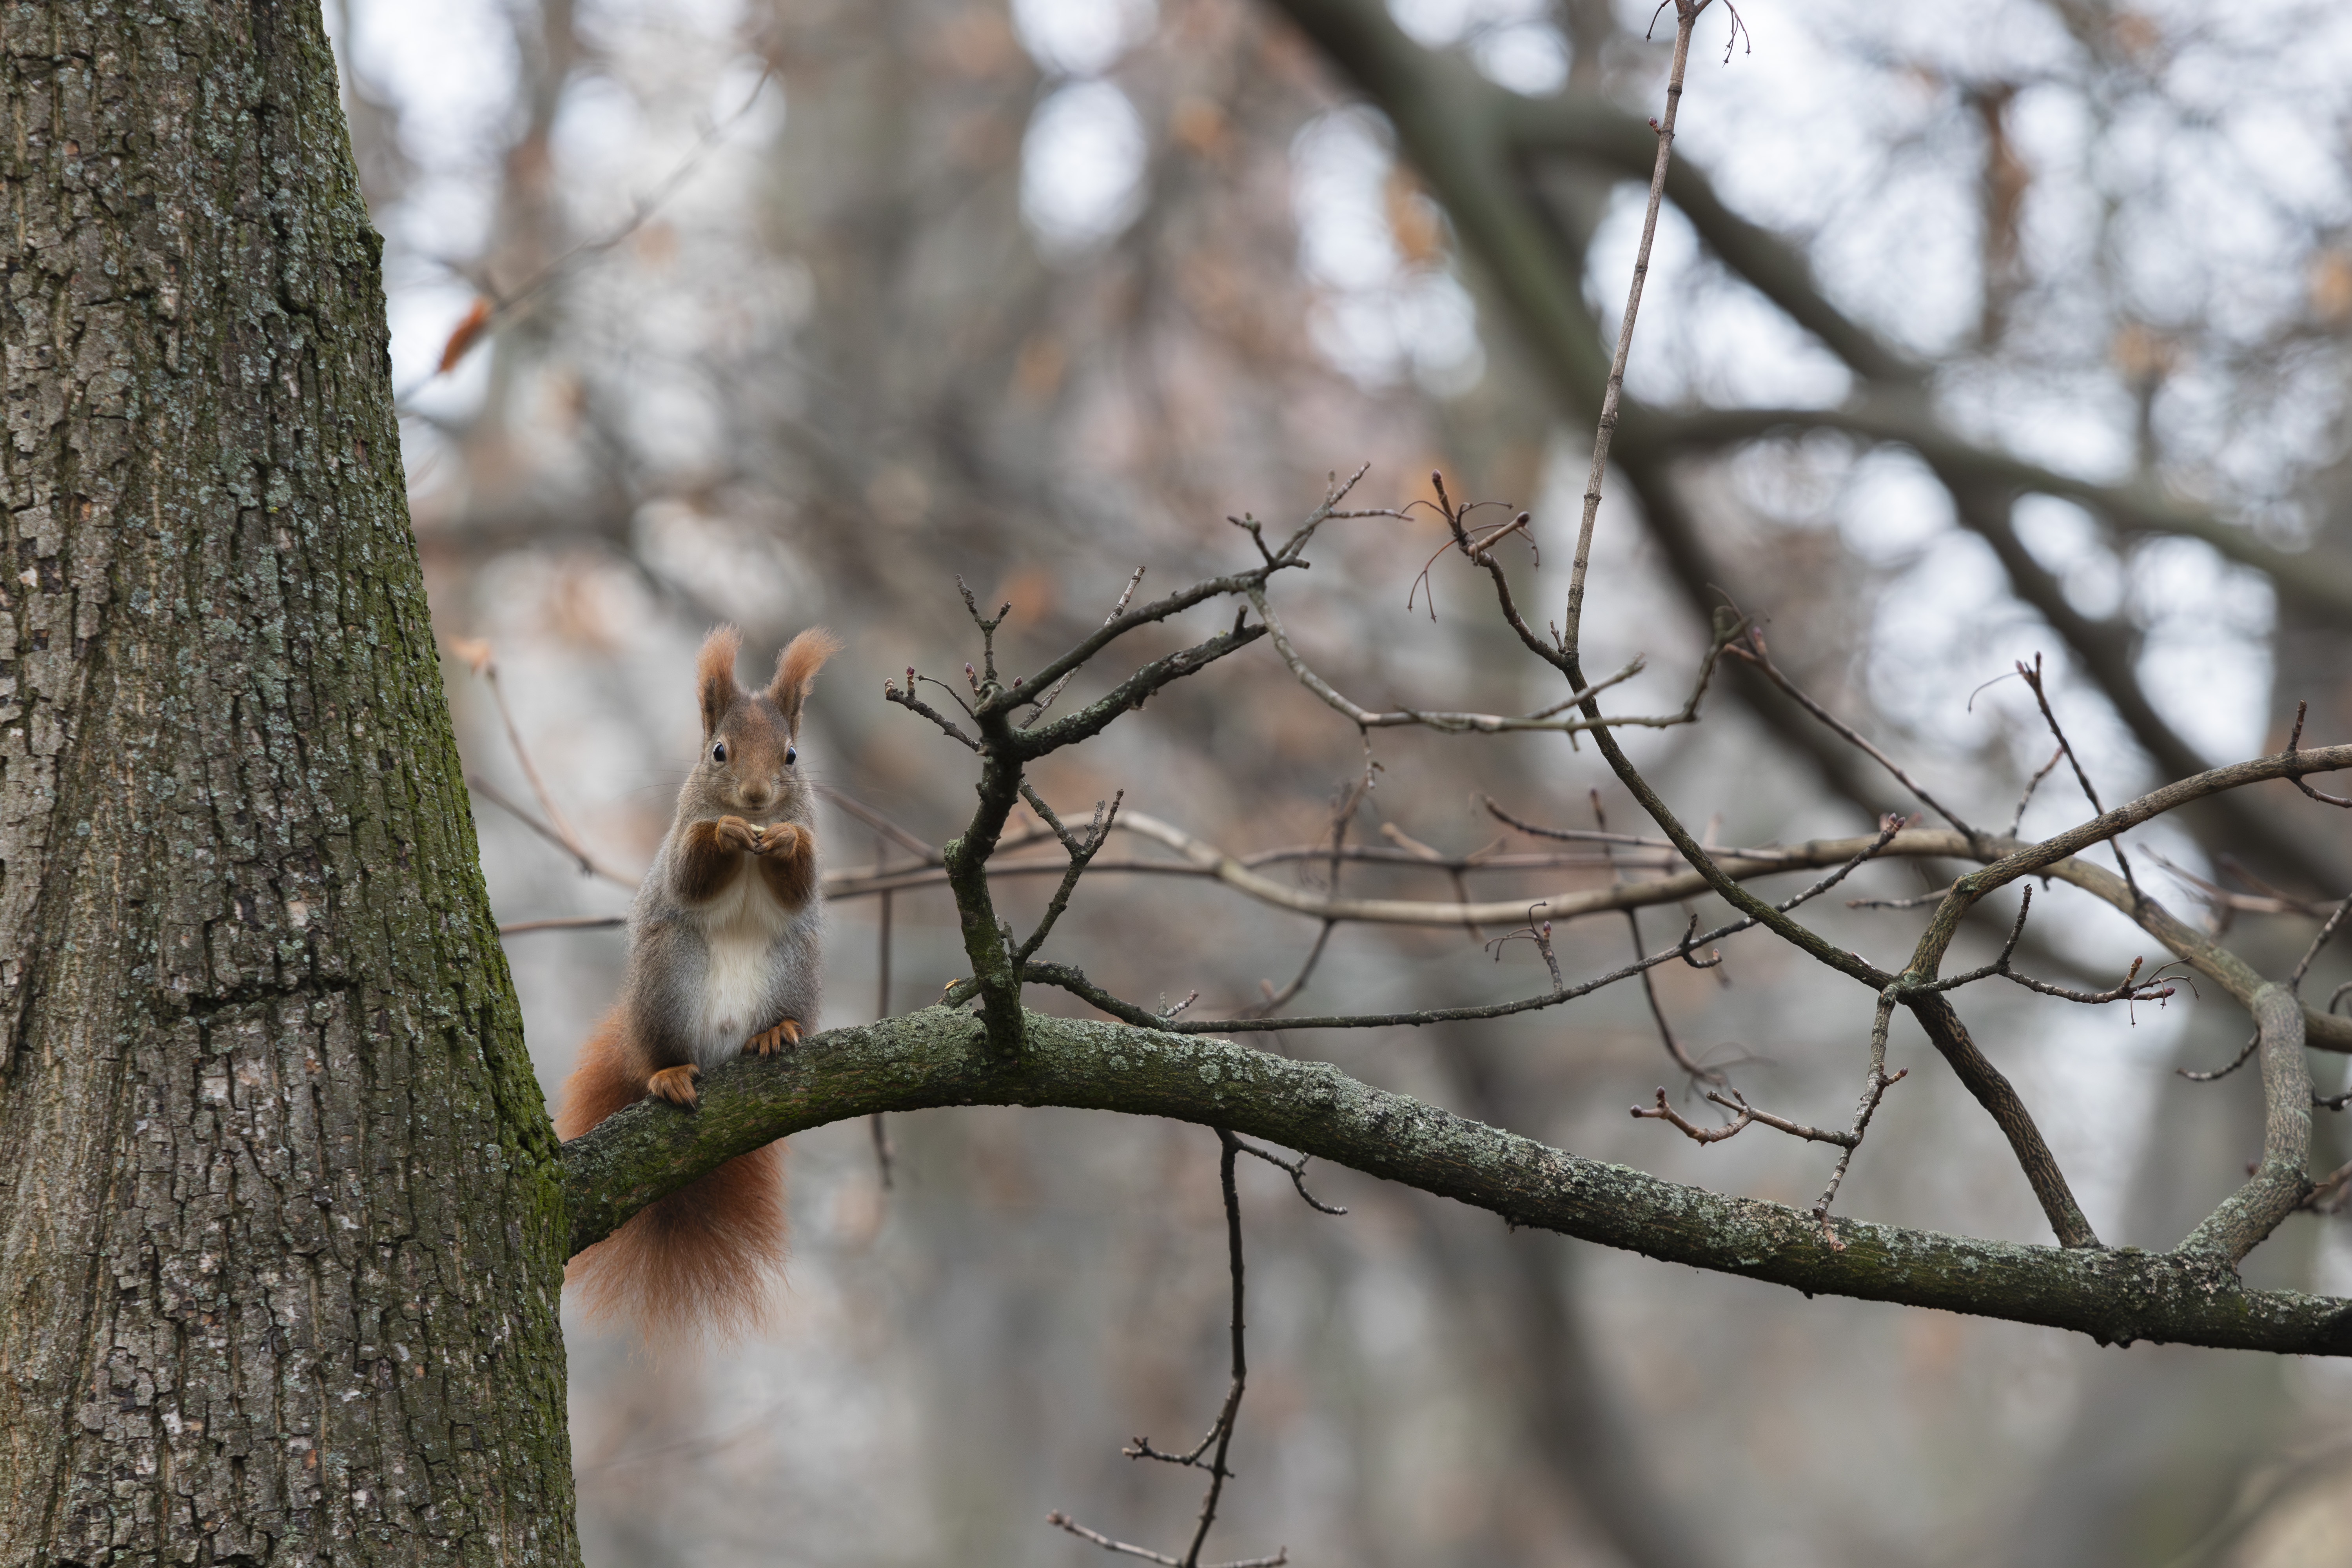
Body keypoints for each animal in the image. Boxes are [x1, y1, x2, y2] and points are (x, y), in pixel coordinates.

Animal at [555, 625, 842, 1354]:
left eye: (792, 755)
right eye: (719, 752)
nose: (758, 797)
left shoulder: (808, 858)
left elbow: (799, 880)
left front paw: (784, 838)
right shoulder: (680, 845)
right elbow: (691, 869)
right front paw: (726, 832)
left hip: (793, 968)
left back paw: (775, 1032)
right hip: (667, 978)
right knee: (662, 1057)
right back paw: (669, 1075)